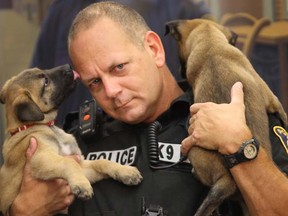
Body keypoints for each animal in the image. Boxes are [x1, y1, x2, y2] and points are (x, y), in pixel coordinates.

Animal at [0, 65, 143, 215]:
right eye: (45, 82)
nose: (68, 67)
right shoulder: (42, 159)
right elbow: (69, 162)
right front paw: (82, 184)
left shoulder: (82, 165)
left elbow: (102, 162)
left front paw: (125, 171)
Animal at [165, 19, 286, 216]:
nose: (180, 71)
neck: (210, 43)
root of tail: (227, 180)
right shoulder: (273, 100)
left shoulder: (273, 101)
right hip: (193, 149)